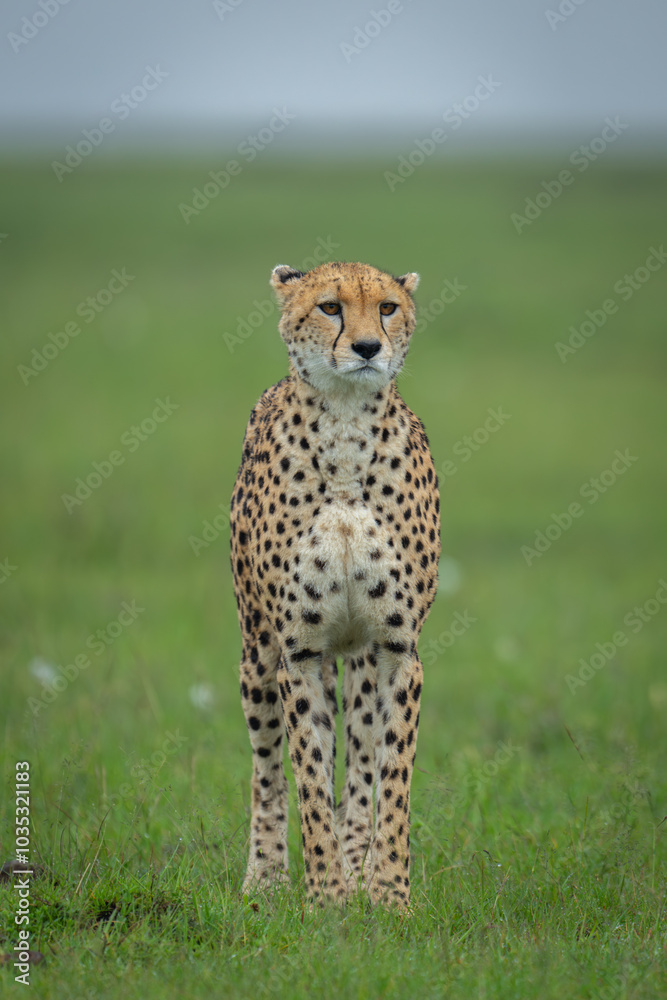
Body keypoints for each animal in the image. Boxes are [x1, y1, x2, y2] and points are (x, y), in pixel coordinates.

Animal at [232, 258, 440, 908]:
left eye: (388, 308)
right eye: (329, 307)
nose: (368, 347)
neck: (346, 431)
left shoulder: (397, 649)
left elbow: (390, 780)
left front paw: (389, 895)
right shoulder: (297, 652)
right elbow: (307, 777)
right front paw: (324, 898)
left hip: (363, 662)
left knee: (362, 765)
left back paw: (358, 870)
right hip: (257, 654)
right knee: (268, 770)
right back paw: (266, 879)